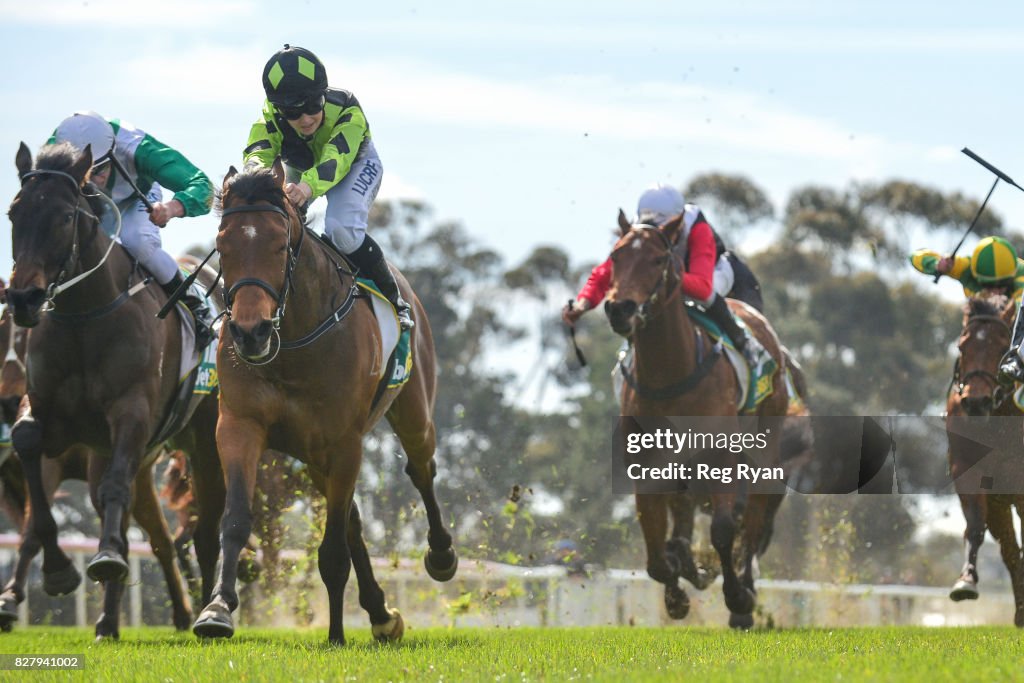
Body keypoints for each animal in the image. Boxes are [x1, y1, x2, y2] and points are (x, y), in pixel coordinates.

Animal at [7, 143, 224, 643]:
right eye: (13, 212)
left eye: (66, 216)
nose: (24, 299)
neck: (84, 316)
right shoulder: (47, 414)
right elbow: (28, 453)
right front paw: (58, 571)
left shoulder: (131, 411)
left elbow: (113, 491)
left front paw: (102, 558)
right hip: (130, 458)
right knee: (150, 531)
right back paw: (113, 620)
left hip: (204, 440)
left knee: (206, 527)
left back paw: (206, 610)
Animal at [193, 161, 458, 647]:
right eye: (223, 244)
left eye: (280, 244)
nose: (250, 333)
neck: (294, 342)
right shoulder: (239, 425)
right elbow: (235, 520)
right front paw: (216, 610)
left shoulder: (344, 441)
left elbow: (333, 549)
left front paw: (336, 634)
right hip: (315, 456)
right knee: (353, 517)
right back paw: (380, 612)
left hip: (412, 412)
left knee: (421, 469)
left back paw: (441, 556)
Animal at [602, 211, 794, 630]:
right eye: (615, 257)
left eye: (658, 259)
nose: (619, 308)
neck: (670, 374)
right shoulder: (648, 464)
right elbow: (656, 551)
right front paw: (677, 591)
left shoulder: (722, 459)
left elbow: (724, 531)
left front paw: (737, 598)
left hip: (766, 448)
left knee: (753, 521)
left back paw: (744, 589)